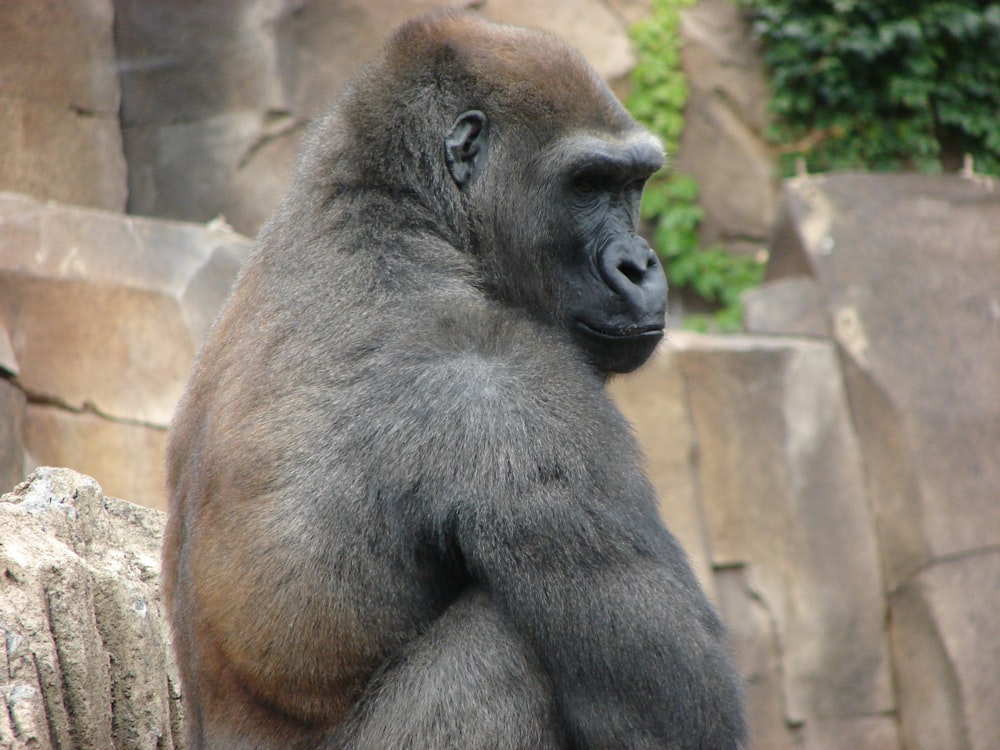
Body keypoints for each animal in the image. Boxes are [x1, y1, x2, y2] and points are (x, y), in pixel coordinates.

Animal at [162, 11, 744, 750]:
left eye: (630, 185)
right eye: (587, 184)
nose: (640, 265)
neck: (399, 214)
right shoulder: (509, 384)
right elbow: (675, 715)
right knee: (512, 642)